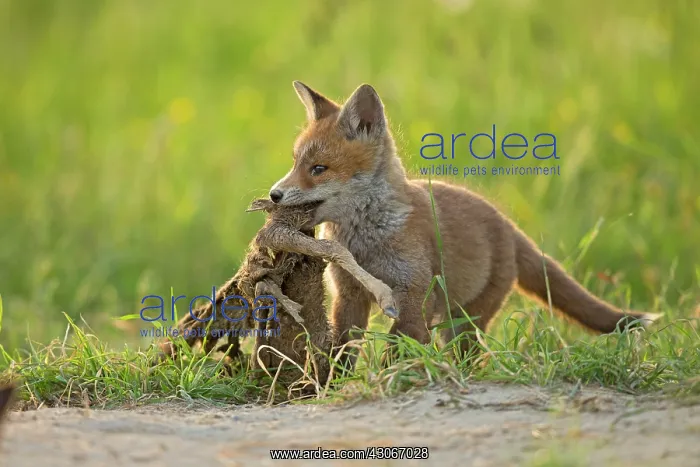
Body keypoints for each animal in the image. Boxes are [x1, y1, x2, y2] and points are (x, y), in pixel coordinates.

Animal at [269, 81, 659, 360]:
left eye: (318, 169)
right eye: (295, 163)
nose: (274, 195)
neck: (367, 242)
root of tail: (507, 225)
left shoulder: (414, 294)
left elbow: (398, 349)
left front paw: (388, 381)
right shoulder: (349, 296)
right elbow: (343, 351)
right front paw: (333, 387)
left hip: (466, 320)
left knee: (470, 355)